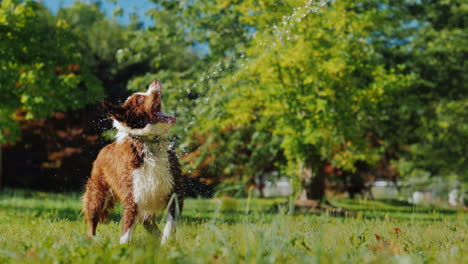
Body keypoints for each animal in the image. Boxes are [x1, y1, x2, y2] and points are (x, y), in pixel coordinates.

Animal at [83, 81, 186, 245]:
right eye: (139, 99)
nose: (155, 82)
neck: (150, 143)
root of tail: (103, 149)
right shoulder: (132, 195)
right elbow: (127, 228)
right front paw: (123, 248)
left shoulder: (175, 191)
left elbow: (170, 224)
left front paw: (165, 245)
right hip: (97, 193)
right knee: (92, 221)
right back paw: (91, 241)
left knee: (149, 223)